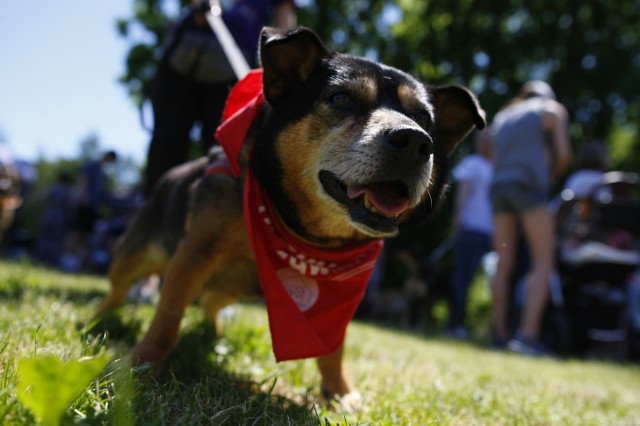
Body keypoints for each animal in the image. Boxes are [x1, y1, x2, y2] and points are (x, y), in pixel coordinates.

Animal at [97, 26, 482, 410]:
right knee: (119, 288)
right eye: (341, 99)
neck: (297, 232)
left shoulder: (339, 304)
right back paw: (102, 317)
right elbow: (168, 316)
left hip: (227, 288)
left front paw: (341, 393)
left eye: (424, 120)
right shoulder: (193, 257)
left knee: (209, 303)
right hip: (134, 255)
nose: (415, 141)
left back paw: (213, 335)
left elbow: (333, 349)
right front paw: (142, 365)